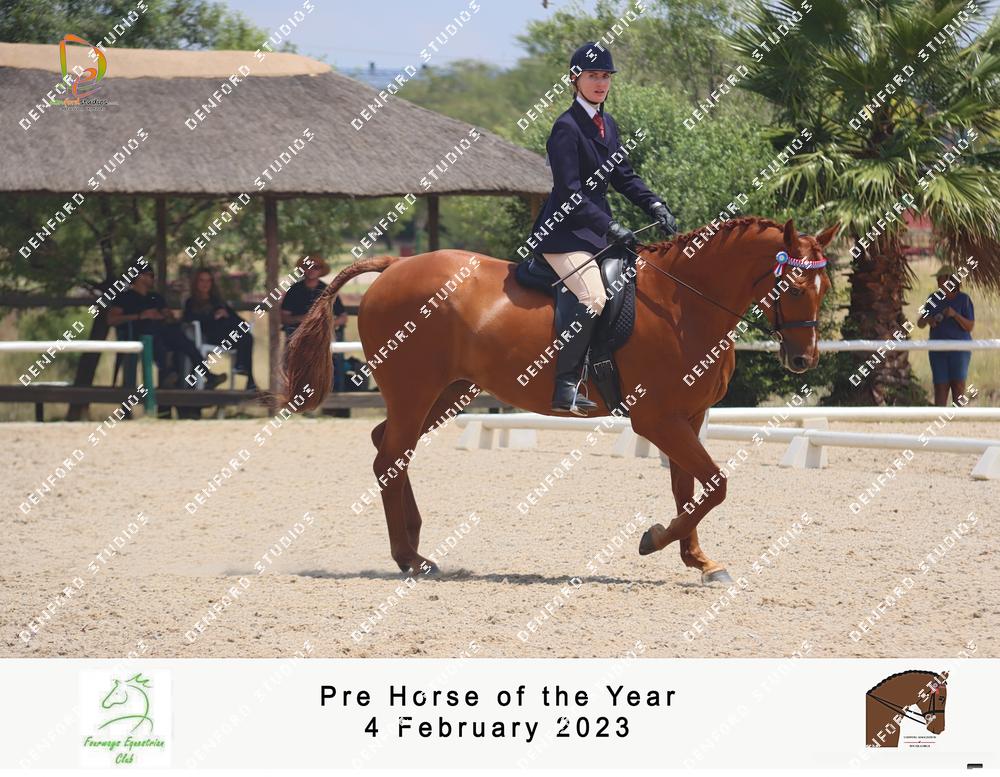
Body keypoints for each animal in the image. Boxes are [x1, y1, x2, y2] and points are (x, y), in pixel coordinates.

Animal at [281, 216, 837, 583]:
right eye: (791, 286)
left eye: (825, 286)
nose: (803, 359)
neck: (683, 304)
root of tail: (393, 266)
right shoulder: (656, 419)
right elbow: (716, 486)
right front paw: (654, 540)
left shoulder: (689, 416)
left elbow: (690, 491)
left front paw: (699, 560)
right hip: (415, 389)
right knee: (390, 456)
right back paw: (407, 558)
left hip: (448, 392)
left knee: (391, 449)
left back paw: (416, 549)